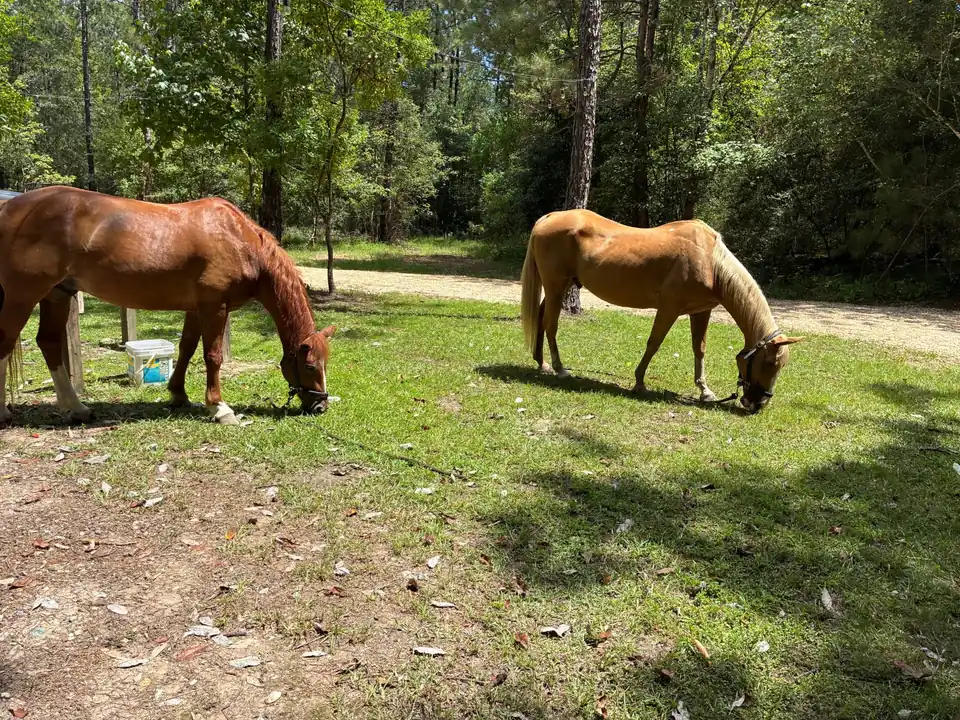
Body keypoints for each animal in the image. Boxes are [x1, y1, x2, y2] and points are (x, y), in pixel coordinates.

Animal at [0, 186, 335, 426]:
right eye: (309, 365)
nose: (321, 405)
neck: (239, 241)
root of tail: (9, 208)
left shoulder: (196, 309)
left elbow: (186, 349)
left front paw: (178, 395)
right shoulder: (215, 307)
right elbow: (213, 356)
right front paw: (219, 407)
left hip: (57, 295)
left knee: (48, 343)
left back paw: (77, 408)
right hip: (21, 296)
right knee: (6, 343)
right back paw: (4, 413)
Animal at [520, 209, 802, 413]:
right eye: (769, 362)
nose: (758, 404)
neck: (710, 262)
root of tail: (549, 217)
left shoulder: (701, 312)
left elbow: (699, 348)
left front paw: (705, 391)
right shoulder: (669, 308)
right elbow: (654, 343)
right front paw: (639, 383)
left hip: (559, 287)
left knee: (542, 318)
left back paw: (541, 362)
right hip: (556, 286)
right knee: (551, 324)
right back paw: (559, 369)